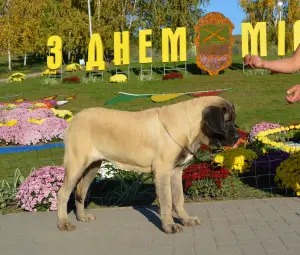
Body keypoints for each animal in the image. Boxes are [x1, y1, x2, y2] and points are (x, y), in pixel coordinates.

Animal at [56, 95, 239, 233]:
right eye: (226, 121)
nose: (237, 136)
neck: (189, 127)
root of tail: (74, 119)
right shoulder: (163, 171)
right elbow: (167, 201)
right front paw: (170, 226)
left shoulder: (176, 171)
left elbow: (179, 198)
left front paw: (186, 220)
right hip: (76, 165)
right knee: (63, 193)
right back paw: (64, 223)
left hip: (93, 166)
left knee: (80, 190)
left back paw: (82, 217)